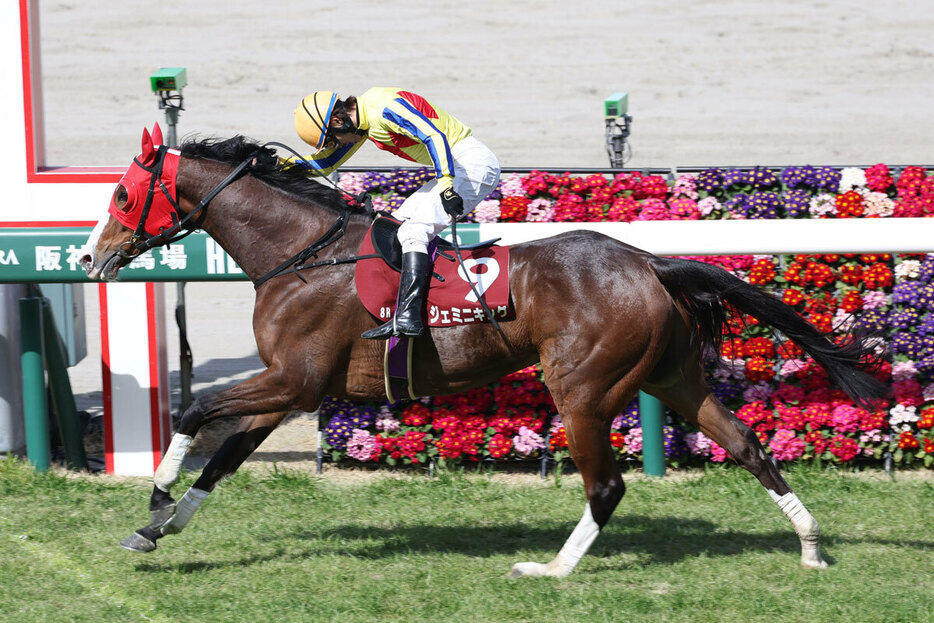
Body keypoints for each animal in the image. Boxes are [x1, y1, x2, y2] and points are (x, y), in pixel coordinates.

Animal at [78, 127, 884, 580]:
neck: (301, 254)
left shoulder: (292, 380)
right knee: (748, 444)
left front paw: (156, 496)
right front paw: (157, 528)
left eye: (121, 196)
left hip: (583, 388)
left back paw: (551, 569)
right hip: (673, 376)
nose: (88, 256)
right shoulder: (289, 388)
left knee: (606, 486)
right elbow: (223, 456)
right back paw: (810, 546)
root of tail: (651, 263)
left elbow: (195, 410)